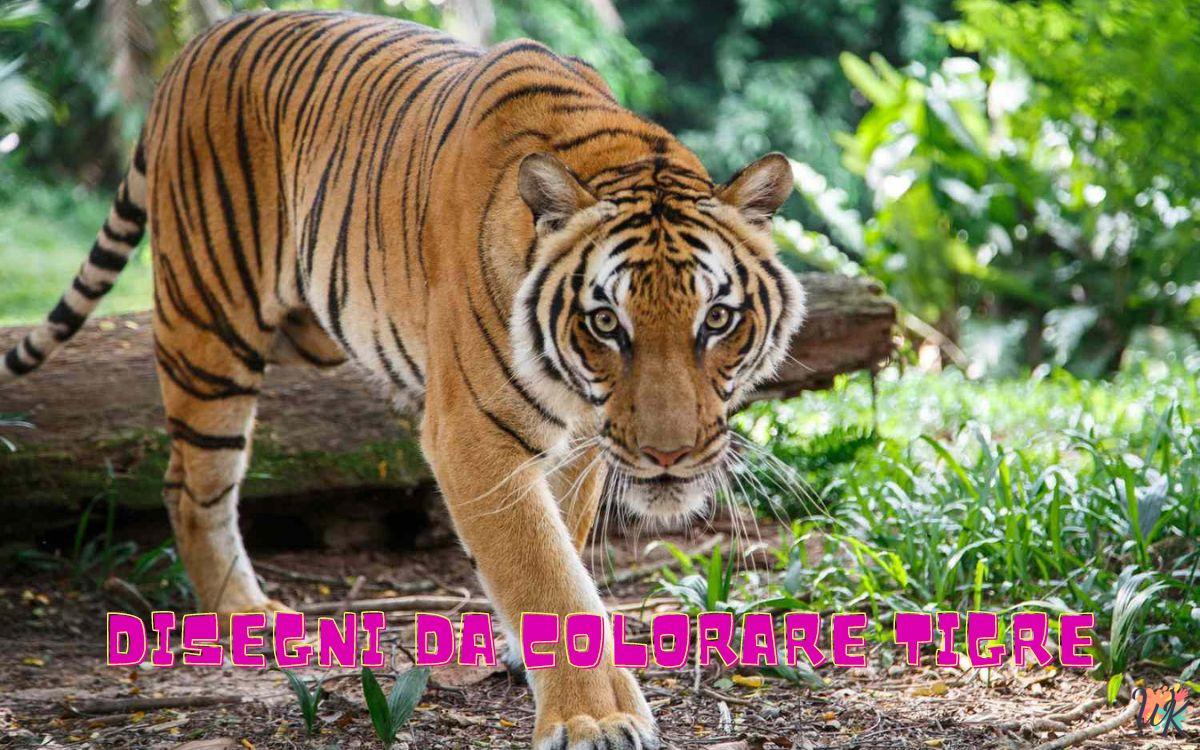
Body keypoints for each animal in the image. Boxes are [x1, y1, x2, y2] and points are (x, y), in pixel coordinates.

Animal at [1, 10, 804, 749]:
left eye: (718, 319)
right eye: (608, 324)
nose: (670, 456)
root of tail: (196, 46)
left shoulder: (582, 444)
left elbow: (563, 545)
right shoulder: (472, 435)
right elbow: (545, 570)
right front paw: (594, 719)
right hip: (209, 329)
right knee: (190, 482)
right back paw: (243, 616)